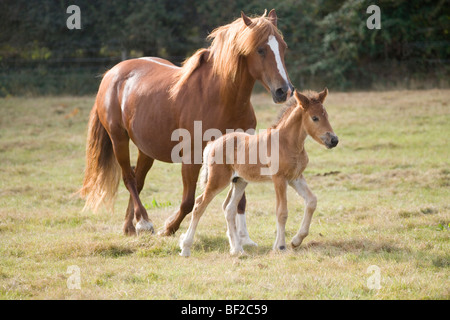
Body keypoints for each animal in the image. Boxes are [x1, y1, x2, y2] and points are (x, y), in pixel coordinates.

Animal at [179, 89, 338, 256]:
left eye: (326, 115)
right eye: (315, 118)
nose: (334, 140)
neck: (287, 143)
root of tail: (213, 143)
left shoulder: (295, 178)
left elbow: (312, 201)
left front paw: (296, 241)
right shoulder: (279, 179)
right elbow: (282, 212)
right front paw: (280, 246)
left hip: (240, 181)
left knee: (229, 208)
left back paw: (237, 250)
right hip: (218, 180)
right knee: (199, 205)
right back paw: (186, 248)